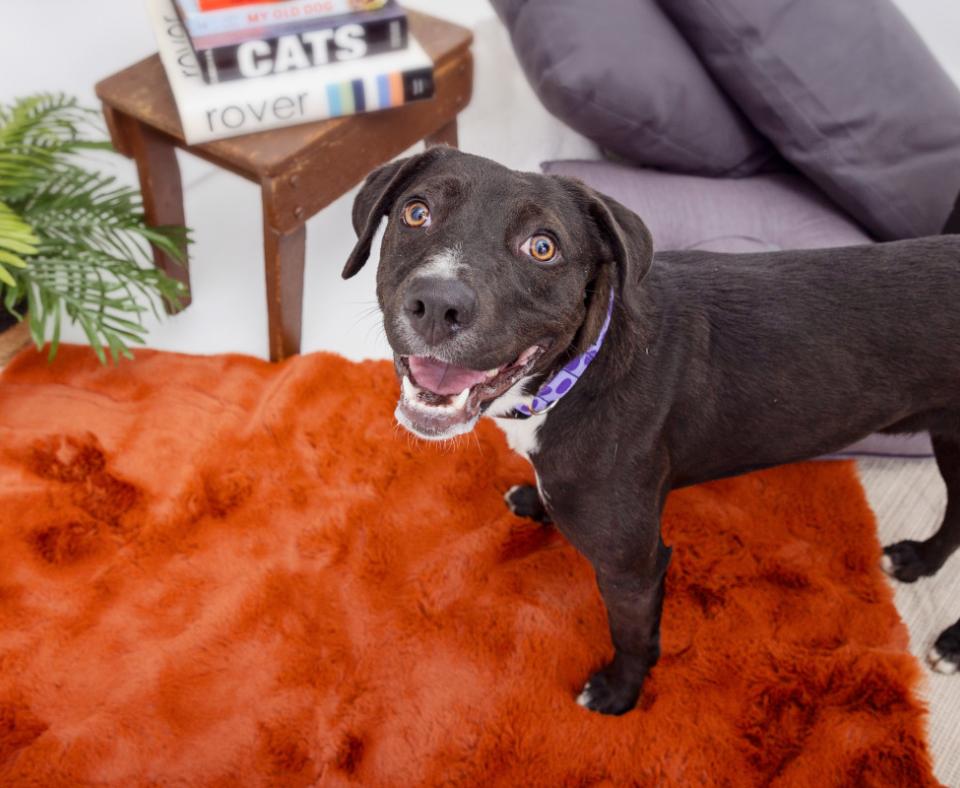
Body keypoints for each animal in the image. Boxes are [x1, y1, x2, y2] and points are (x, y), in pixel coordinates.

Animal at [344, 146, 960, 716]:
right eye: (416, 213)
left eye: (543, 247)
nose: (436, 303)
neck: (578, 369)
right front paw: (533, 501)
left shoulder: (632, 566)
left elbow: (633, 636)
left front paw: (619, 694)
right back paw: (920, 562)